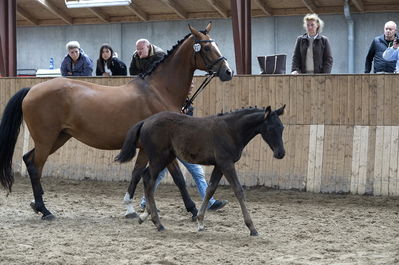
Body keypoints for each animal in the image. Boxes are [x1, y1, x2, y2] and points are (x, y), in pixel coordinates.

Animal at [114, 104, 286, 234]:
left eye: (282, 127)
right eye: (270, 128)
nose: (281, 153)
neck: (231, 130)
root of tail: (145, 121)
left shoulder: (219, 165)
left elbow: (210, 189)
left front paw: (200, 222)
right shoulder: (226, 163)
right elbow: (238, 190)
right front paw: (252, 228)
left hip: (161, 157)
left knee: (144, 176)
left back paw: (144, 216)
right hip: (159, 158)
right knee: (149, 181)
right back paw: (158, 223)